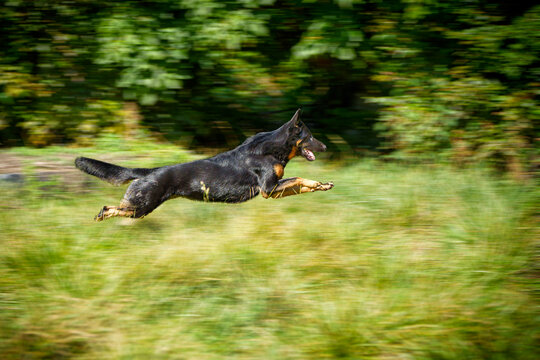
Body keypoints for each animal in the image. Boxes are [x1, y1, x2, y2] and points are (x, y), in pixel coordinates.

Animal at [75, 108, 334, 221]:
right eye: (310, 136)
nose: (325, 147)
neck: (273, 149)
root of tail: (147, 172)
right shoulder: (268, 189)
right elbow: (298, 179)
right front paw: (317, 184)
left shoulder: (273, 192)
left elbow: (301, 185)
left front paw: (321, 185)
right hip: (141, 207)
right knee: (108, 208)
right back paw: (100, 217)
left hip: (139, 208)